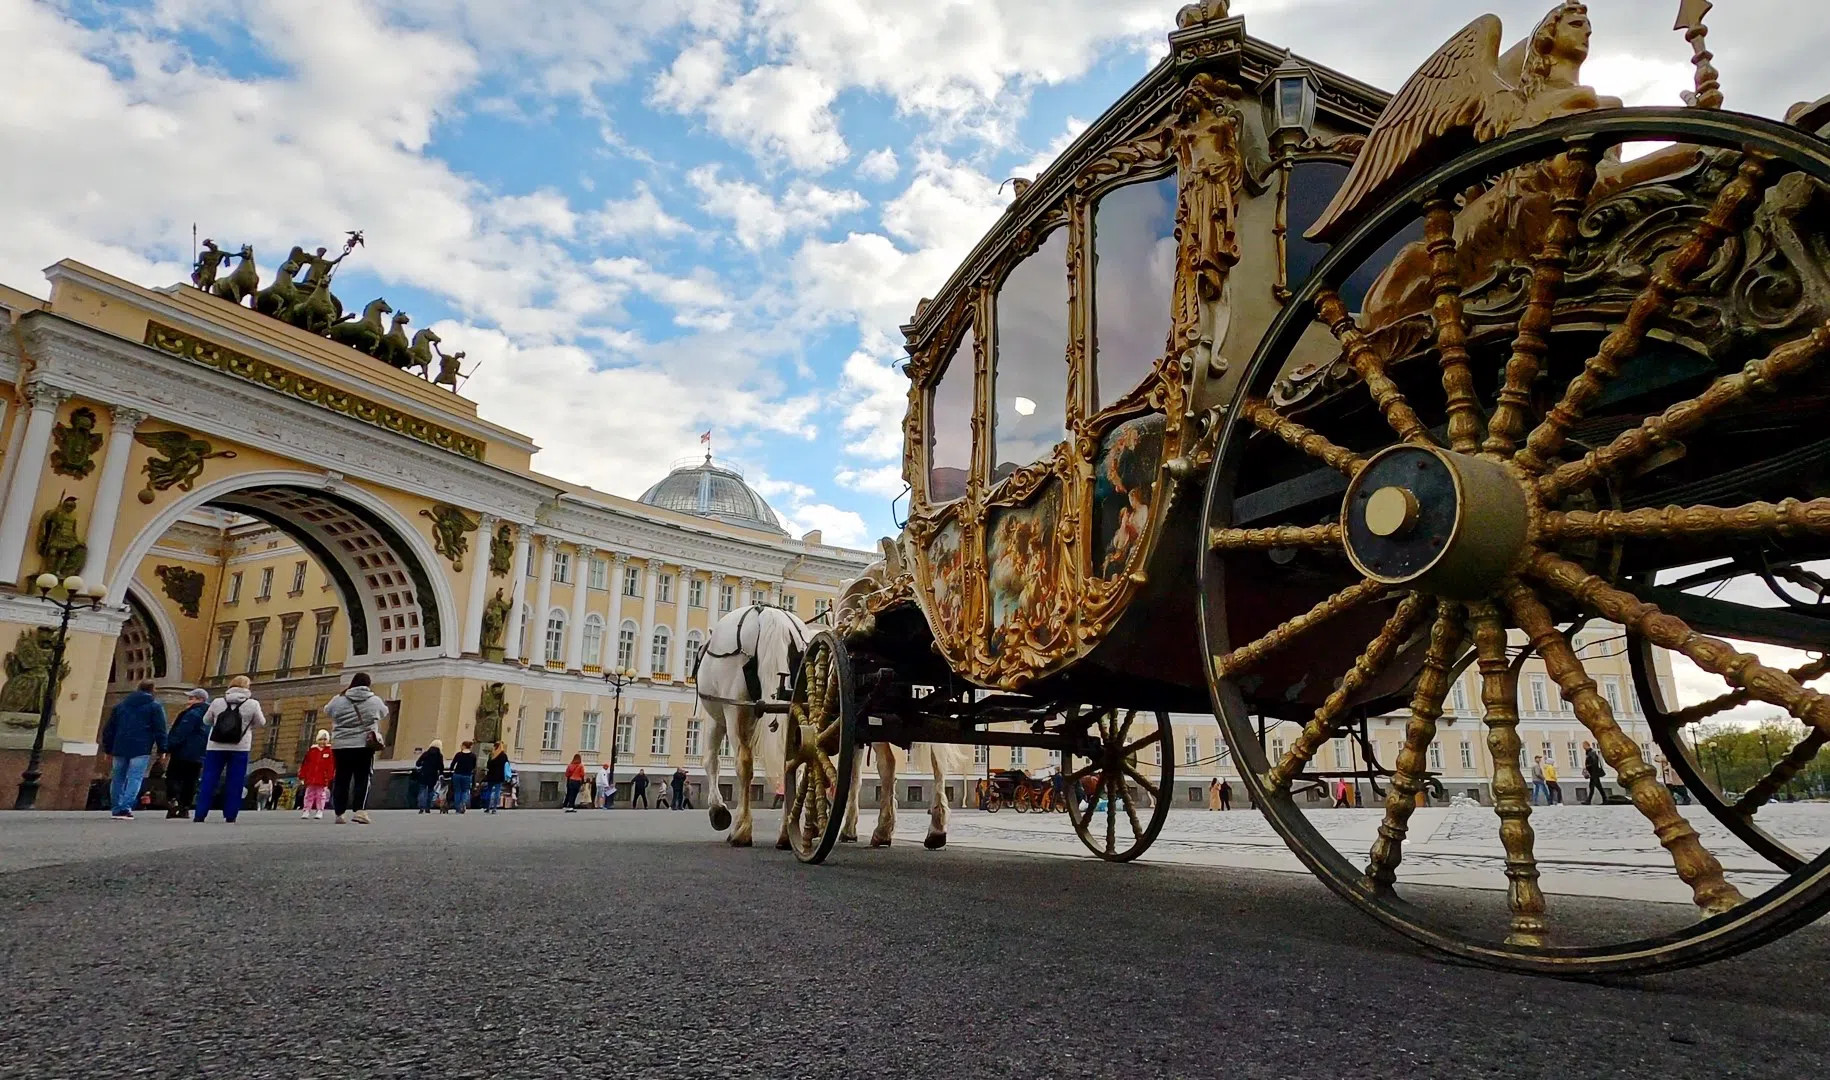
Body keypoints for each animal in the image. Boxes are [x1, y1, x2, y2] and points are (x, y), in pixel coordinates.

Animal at [691, 604, 966, 849]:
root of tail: (768, 615)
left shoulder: (718, 717)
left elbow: (711, 760)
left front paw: (718, 812)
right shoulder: (851, 725)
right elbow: (854, 776)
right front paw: (844, 828)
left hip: (737, 710)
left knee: (749, 763)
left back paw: (746, 830)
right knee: (921, 764)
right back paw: (924, 830)